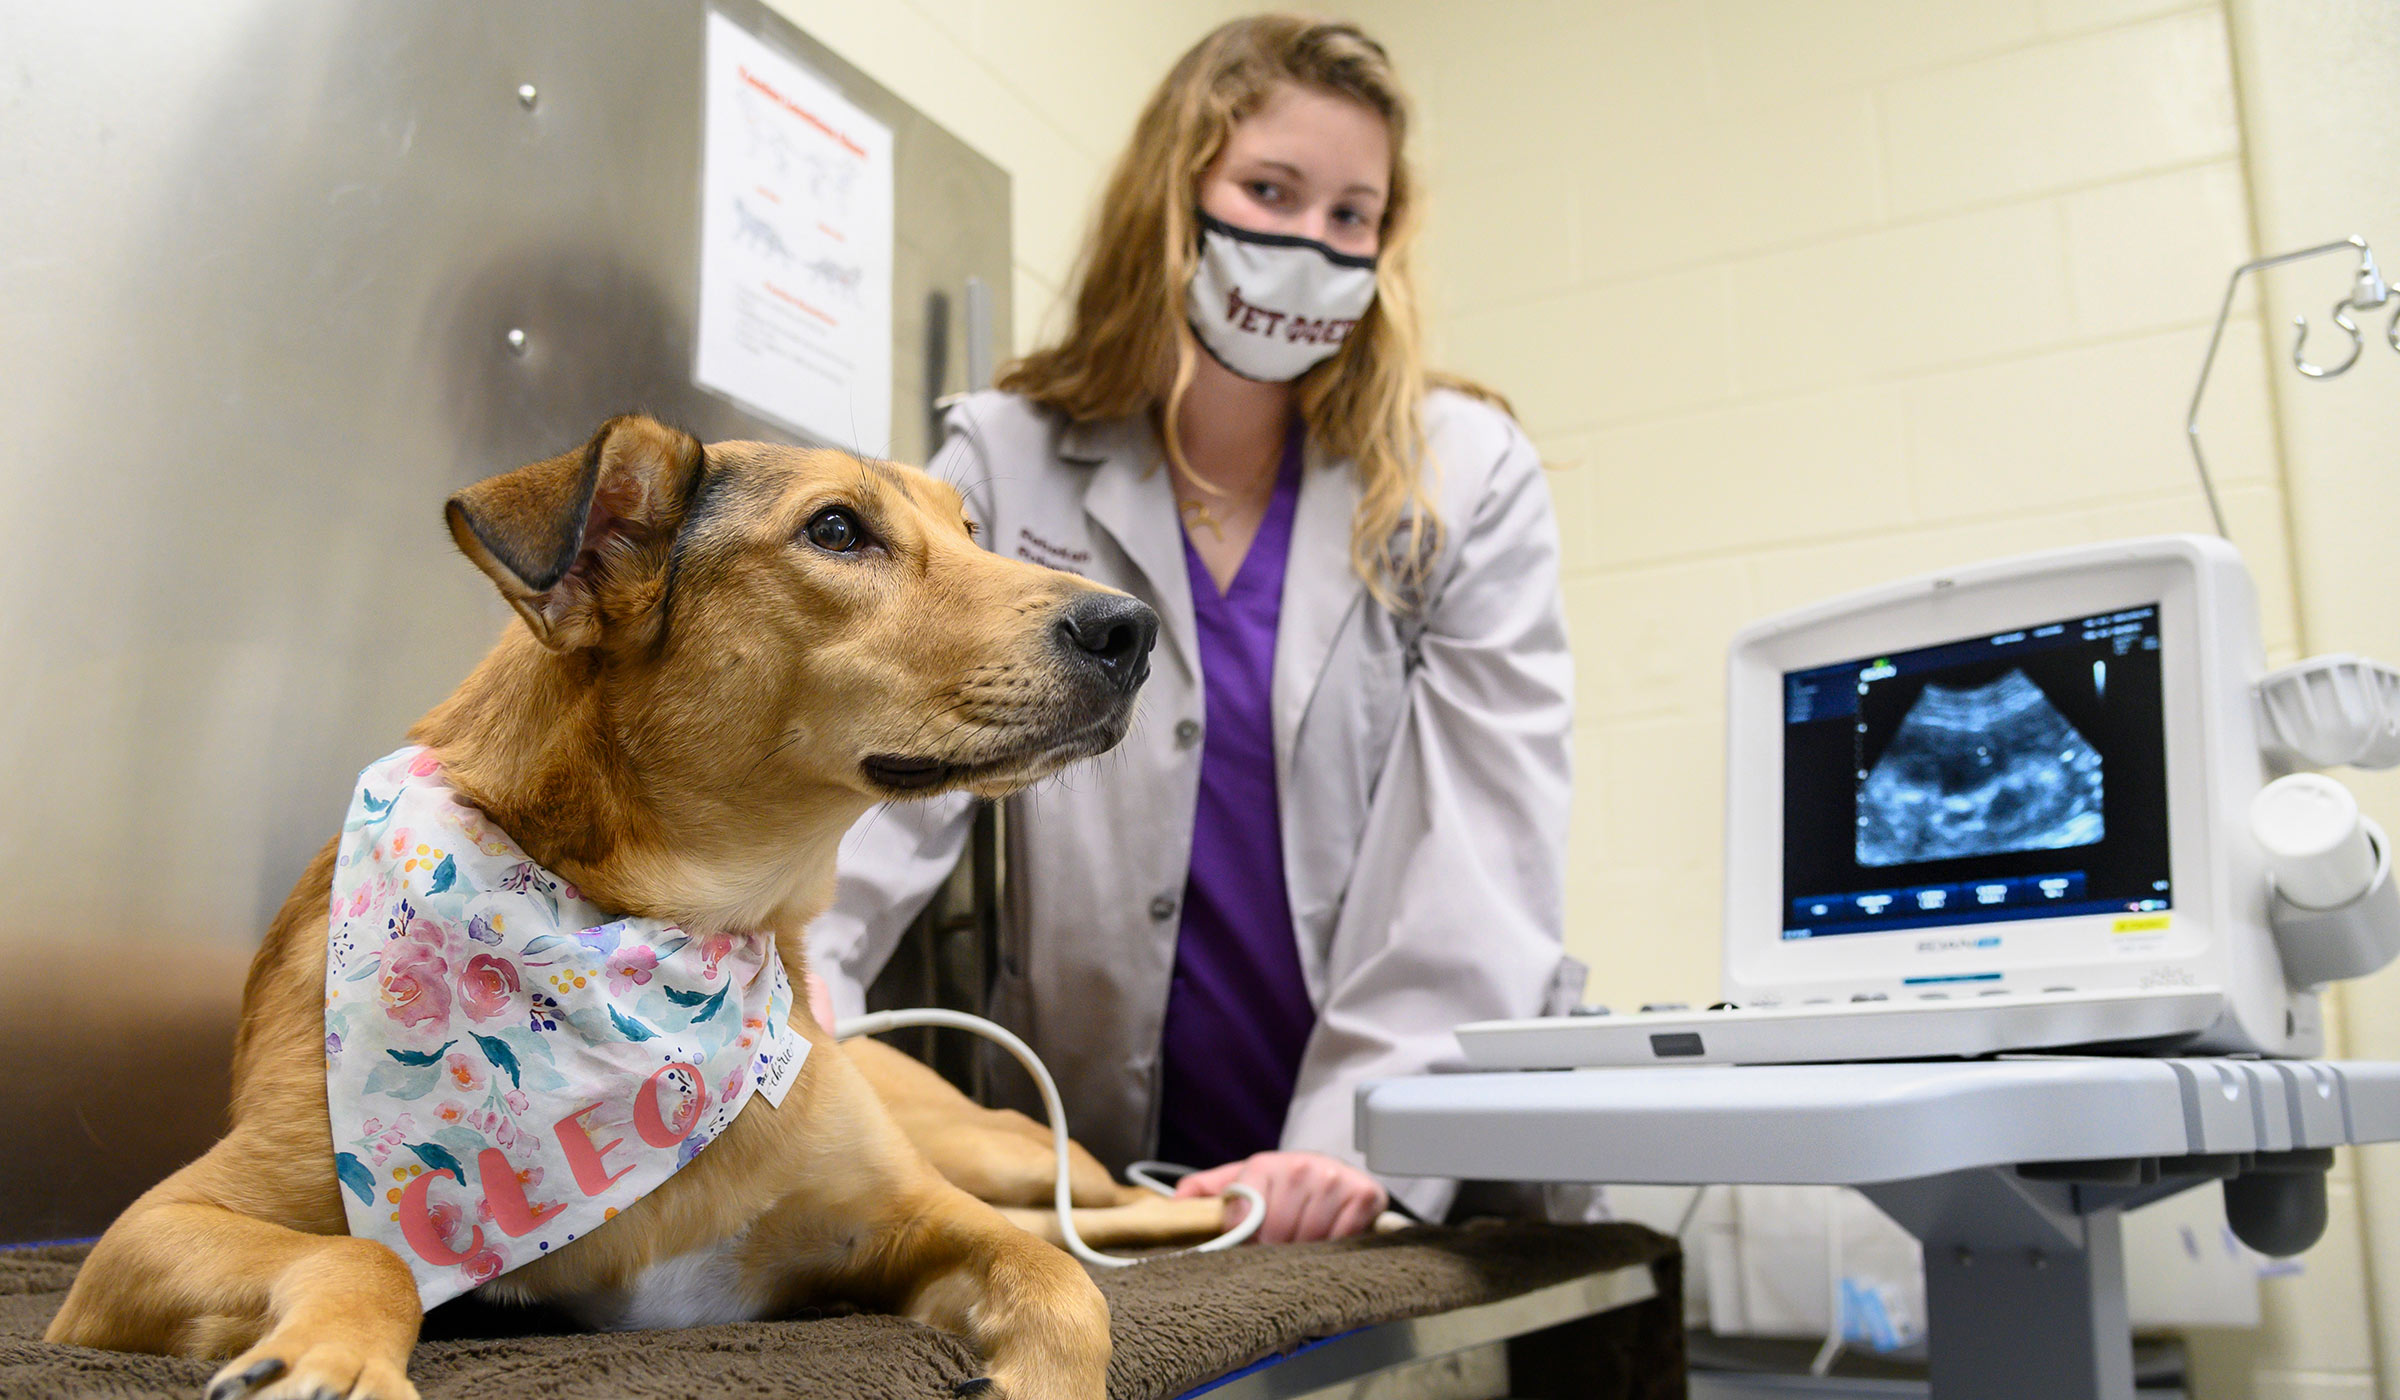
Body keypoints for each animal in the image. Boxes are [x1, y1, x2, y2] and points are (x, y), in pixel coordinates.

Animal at [51, 415, 1176, 1400]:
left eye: (971, 530)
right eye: (836, 531)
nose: (1135, 628)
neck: (675, 930)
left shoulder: (911, 1211)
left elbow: (1057, 1282)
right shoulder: (149, 1229)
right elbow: (374, 1262)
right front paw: (336, 1357)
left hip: (985, 1149)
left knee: (1096, 1210)